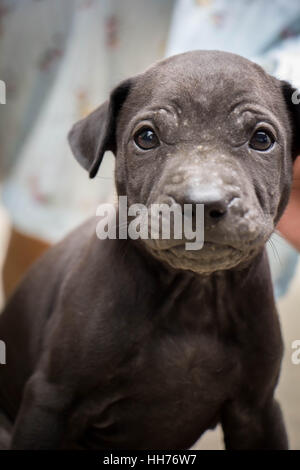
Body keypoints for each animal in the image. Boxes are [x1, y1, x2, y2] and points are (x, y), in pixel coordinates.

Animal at [0, 49, 300, 450]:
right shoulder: (51, 399)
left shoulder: (258, 410)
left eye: (262, 139)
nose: (202, 202)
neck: (194, 297)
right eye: (146, 137)